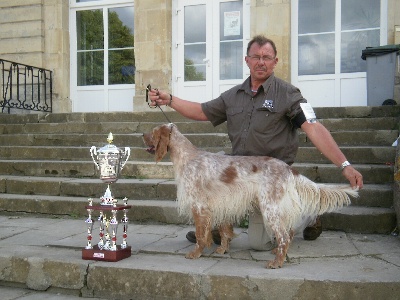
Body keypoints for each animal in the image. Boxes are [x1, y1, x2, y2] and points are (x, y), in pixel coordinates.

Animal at [142, 123, 358, 268]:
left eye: (153, 131)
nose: (141, 134)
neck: (188, 158)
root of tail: (288, 168)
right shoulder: (222, 203)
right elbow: (223, 231)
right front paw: (222, 249)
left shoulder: (199, 205)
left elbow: (201, 235)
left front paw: (196, 253)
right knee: (288, 231)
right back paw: (277, 251)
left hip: (270, 208)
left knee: (284, 235)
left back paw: (277, 262)